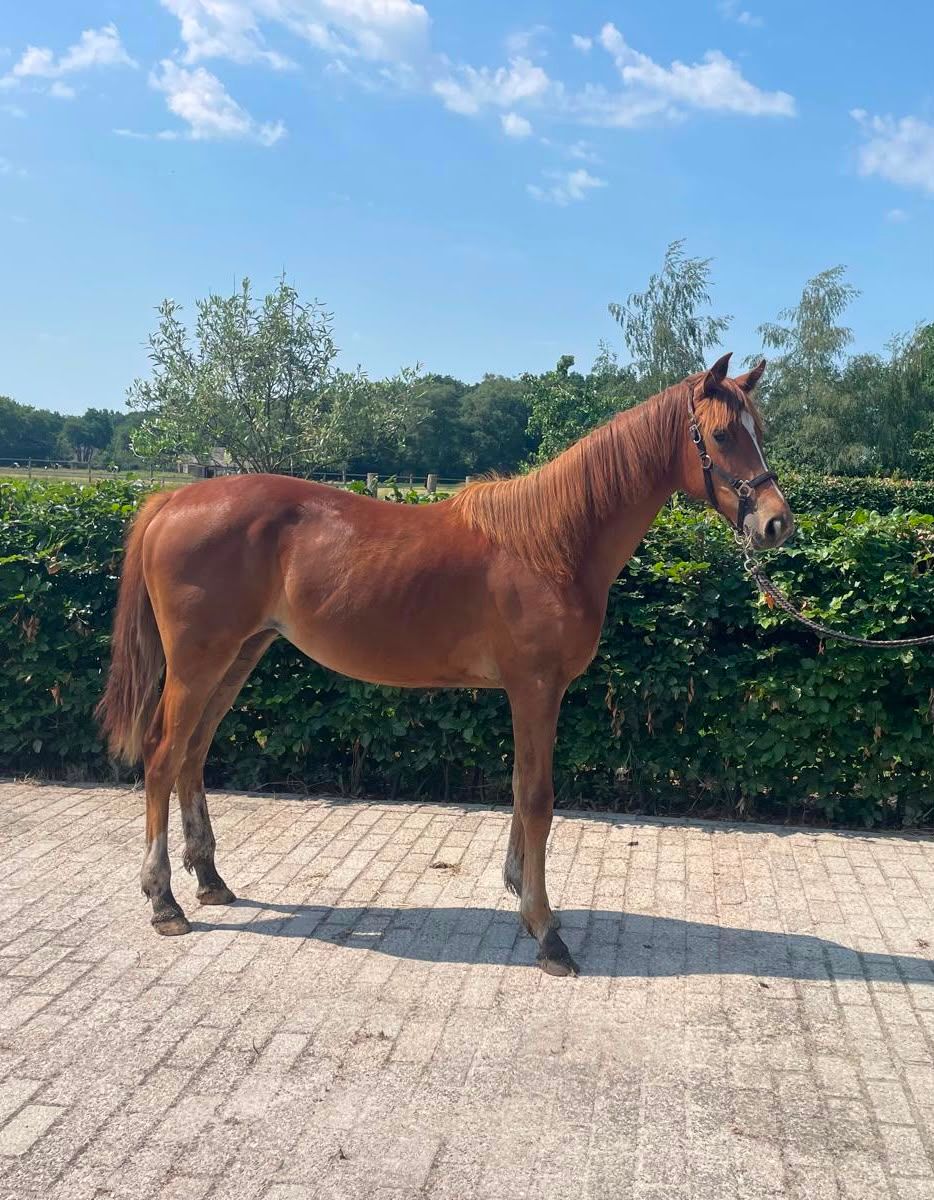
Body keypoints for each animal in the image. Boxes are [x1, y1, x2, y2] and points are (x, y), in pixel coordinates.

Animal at [97, 352, 793, 976]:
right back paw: (164, 900)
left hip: (239, 656)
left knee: (192, 756)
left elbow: (520, 788)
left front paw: (521, 894)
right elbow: (537, 797)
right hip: (198, 664)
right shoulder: (535, 689)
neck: (551, 543)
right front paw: (545, 932)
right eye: (723, 434)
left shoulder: (530, 694)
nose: (776, 523)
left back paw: (210, 879)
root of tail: (171, 500)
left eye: (760, 430)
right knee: (162, 757)